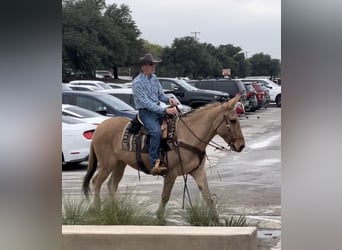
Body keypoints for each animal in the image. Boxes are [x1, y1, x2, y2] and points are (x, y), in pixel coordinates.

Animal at [82, 94, 243, 220]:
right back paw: (97, 209)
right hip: (107, 164)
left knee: (111, 185)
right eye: (233, 120)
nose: (241, 145)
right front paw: (159, 217)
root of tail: (99, 128)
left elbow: (208, 197)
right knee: (97, 182)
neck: (187, 136)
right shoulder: (171, 173)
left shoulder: (198, 172)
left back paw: (115, 211)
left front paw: (216, 220)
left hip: (119, 164)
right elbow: (165, 196)